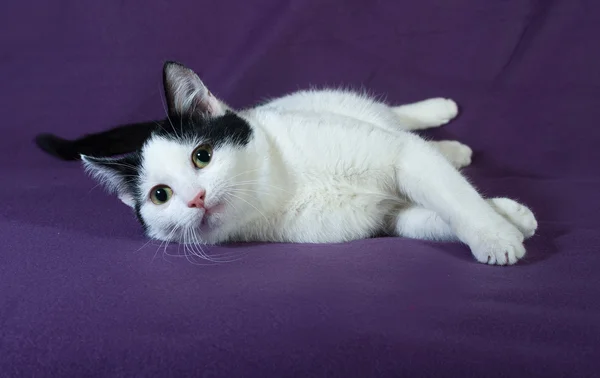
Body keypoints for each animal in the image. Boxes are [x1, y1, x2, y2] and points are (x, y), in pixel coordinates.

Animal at [35, 60, 536, 264]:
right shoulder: (385, 218)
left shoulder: (397, 157)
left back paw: (441, 118)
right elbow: (431, 215)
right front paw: (505, 222)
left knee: (400, 123)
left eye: (202, 156)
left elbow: (453, 197)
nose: (196, 198)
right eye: (161, 195)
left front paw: (494, 234)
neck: (280, 186)